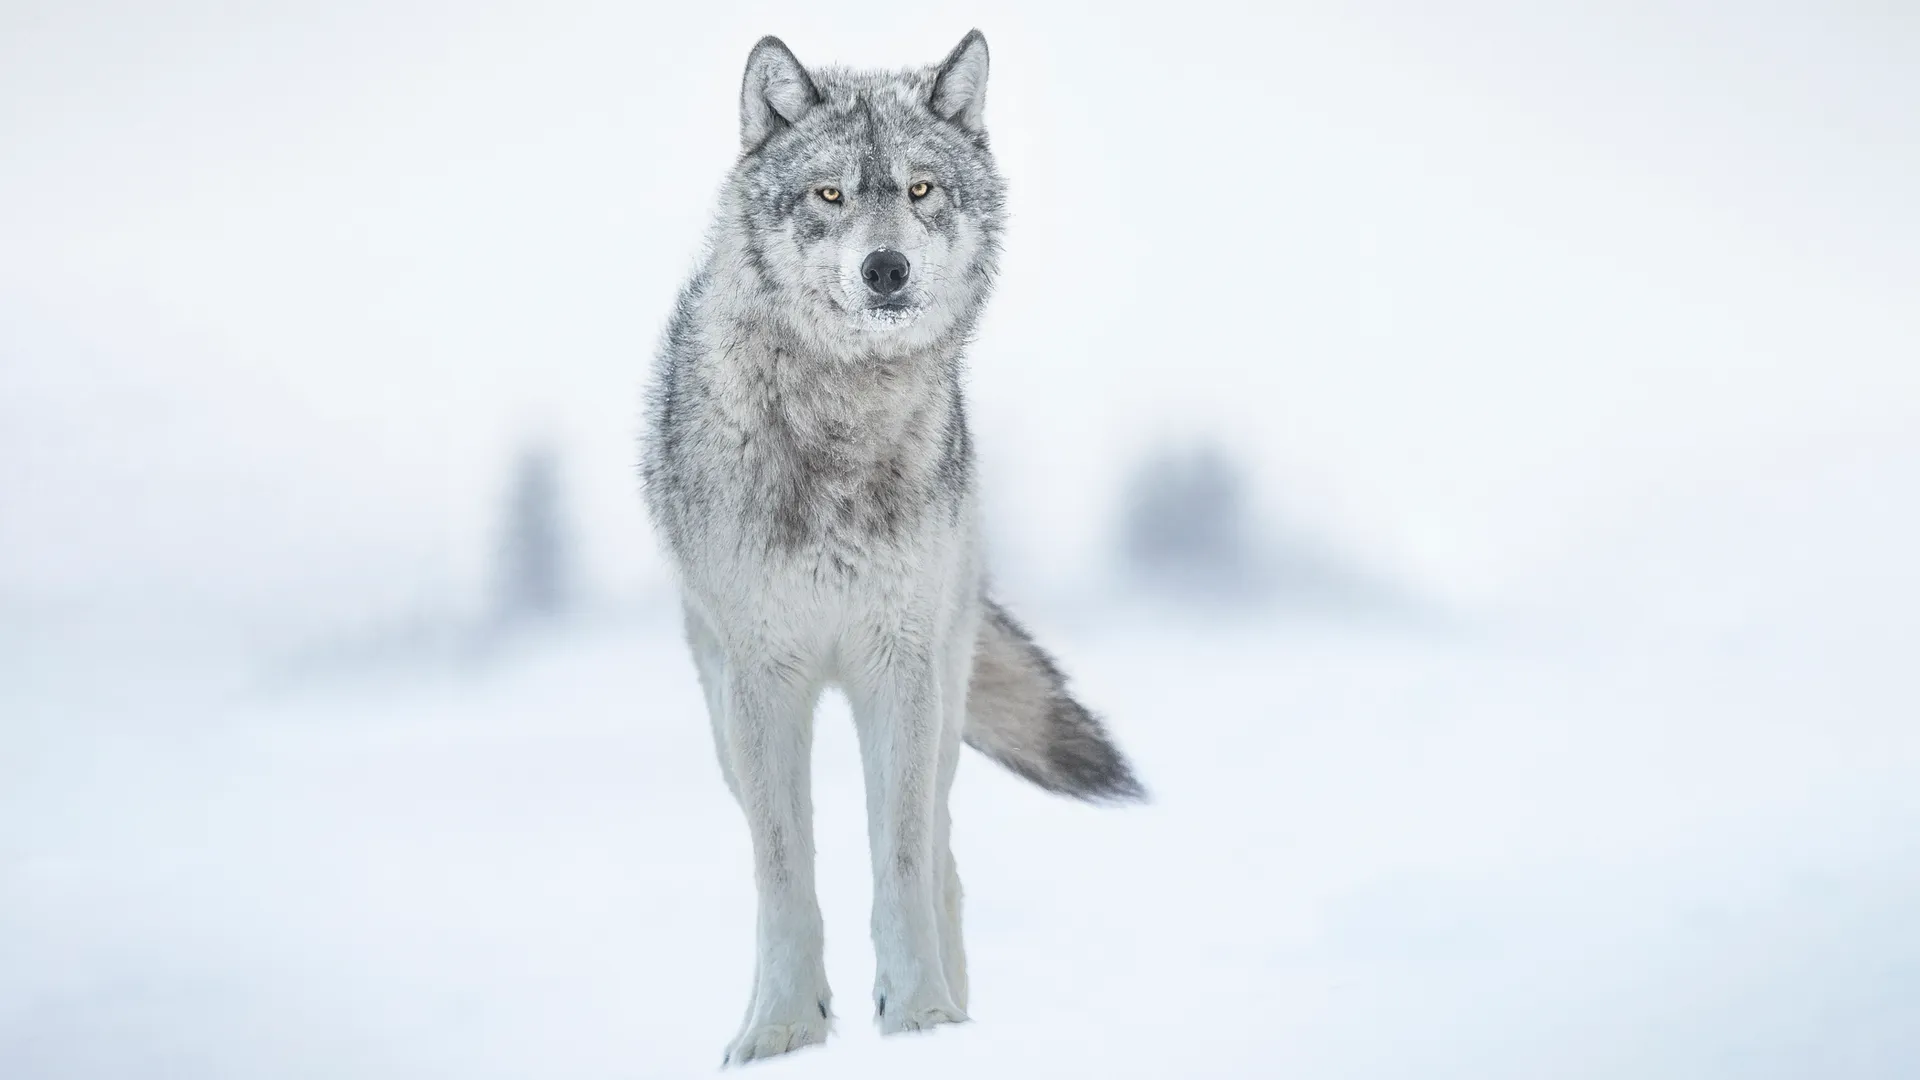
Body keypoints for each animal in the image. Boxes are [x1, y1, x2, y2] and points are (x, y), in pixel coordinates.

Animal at [640, 30, 1144, 1066]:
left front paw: (921, 1018)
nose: (886, 270)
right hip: (723, 709)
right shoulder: (764, 683)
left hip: (942, 692)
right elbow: (783, 874)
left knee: (941, 851)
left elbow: (903, 861)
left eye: (919, 190)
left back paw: (957, 1005)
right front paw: (782, 1028)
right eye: (831, 194)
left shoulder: (897, 669)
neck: (841, 425)